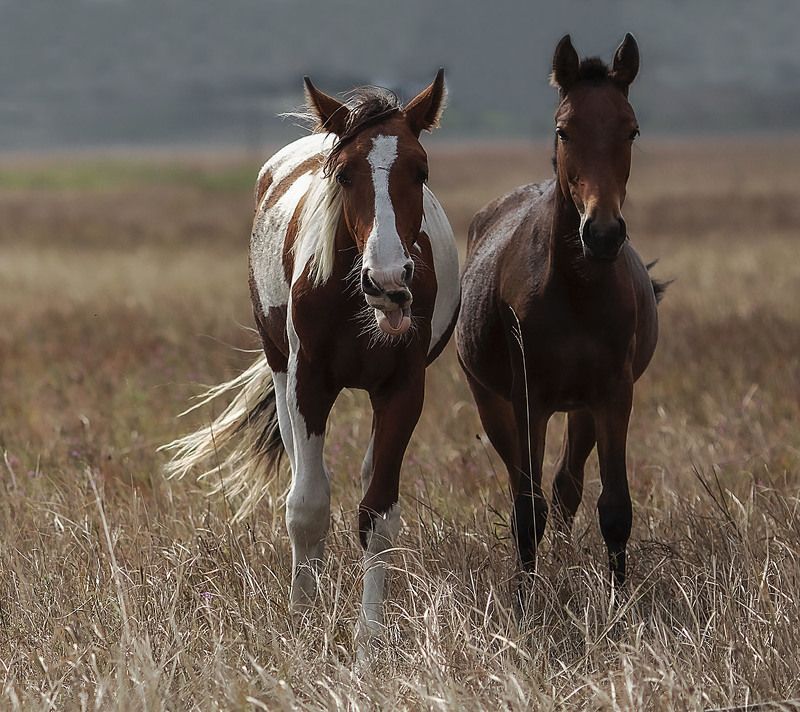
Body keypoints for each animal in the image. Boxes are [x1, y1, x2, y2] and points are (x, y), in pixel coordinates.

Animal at [162, 71, 459, 648]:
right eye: (344, 174)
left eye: (421, 170)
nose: (389, 282)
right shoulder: (308, 383)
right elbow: (307, 507)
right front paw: (303, 620)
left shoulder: (403, 389)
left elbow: (378, 514)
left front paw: (369, 639)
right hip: (282, 375)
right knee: (306, 474)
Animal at [456, 34, 665, 589]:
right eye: (563, 129)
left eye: (631, 129)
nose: (603, 233)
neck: (577, 291)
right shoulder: (529, 398)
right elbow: (527, 510)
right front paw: (526, 599)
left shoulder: (613, 394)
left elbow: (613, 507)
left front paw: (618, 599)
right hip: (495, 401)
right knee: (526, 488)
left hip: (583, 408)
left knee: (566, 485)